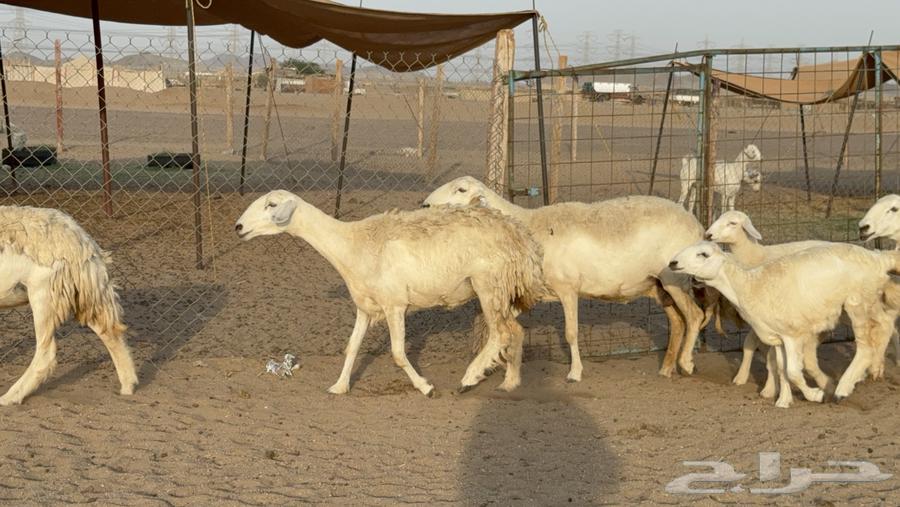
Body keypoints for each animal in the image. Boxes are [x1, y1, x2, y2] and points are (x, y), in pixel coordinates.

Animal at [0, 206, 138, 405]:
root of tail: (83, 243)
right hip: (82, 293)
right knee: (109, 332)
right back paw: (128, 387)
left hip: (45, 294)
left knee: (46, 353)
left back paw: (10, 397)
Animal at [234, 190, 544, 397]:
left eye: (272, 204)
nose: (238, 227)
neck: (350, 244)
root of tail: (519, 236)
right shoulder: (365, 306)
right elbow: (352, 347)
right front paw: (340, 386)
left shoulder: (394, 304)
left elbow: (397, 353)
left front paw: (425, 387)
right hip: (502, 290)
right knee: (515, 330)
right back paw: (510, 382)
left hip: (489, 283)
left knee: (501, 333)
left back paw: (469, 378)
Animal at [422, 176, 710, 380]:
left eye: (461, 190)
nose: (424, 205)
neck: (530, 226)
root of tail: (696, 224)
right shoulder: (536, 292)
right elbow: (502, 328)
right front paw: (477, 371)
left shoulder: (568, 288)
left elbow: (571, 333)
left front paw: (575, 373)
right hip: (659, 285)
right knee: (678, 322)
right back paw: (666, 368)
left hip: (676, 279)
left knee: (695, 316)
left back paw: (686, 363)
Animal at [669, 241, 899, 408]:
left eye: (703, 254)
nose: (672, 263)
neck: (749, 288)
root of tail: (878, 258)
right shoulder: (777, 337)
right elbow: (781, 368)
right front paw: (784, 400)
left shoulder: (792, 335)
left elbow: (793, 372)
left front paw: (815, 395)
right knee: (883, 328)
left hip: (857, 301)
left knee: (866, 346)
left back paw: (844, 387)